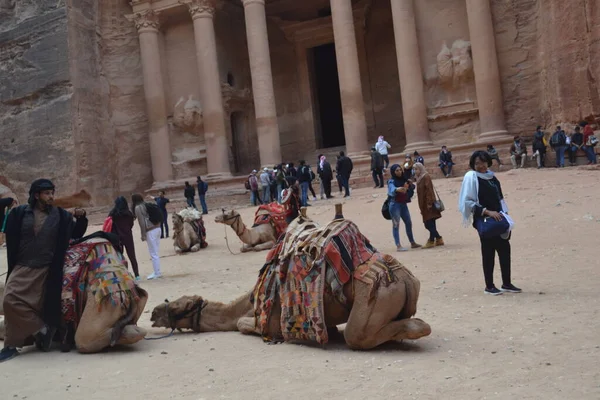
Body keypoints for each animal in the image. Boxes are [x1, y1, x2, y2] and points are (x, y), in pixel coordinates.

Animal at [151, 205, 432, 348]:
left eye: (177, 307)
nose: (154, 313)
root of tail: (403, 276)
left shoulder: (272, 319)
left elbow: (243, 325)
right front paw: (332, 332)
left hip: (377, 295)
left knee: (358, 335)